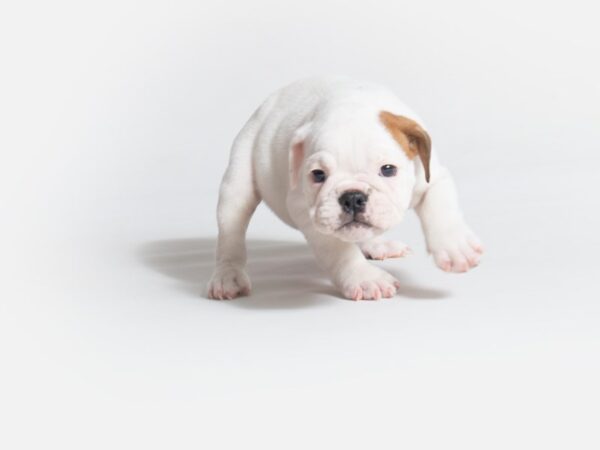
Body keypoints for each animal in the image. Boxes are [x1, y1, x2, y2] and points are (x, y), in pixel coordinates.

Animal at [207, 77, 482, 300]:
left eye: (388, 169)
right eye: (318, 175)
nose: (352, 197)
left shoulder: (431, 177)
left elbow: (440, 206)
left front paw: (456, 247)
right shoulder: (307, 212)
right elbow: (338, 251)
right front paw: (365, 278)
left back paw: (379, 245)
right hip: (237, 182)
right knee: (231, 235)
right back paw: (228, 276)